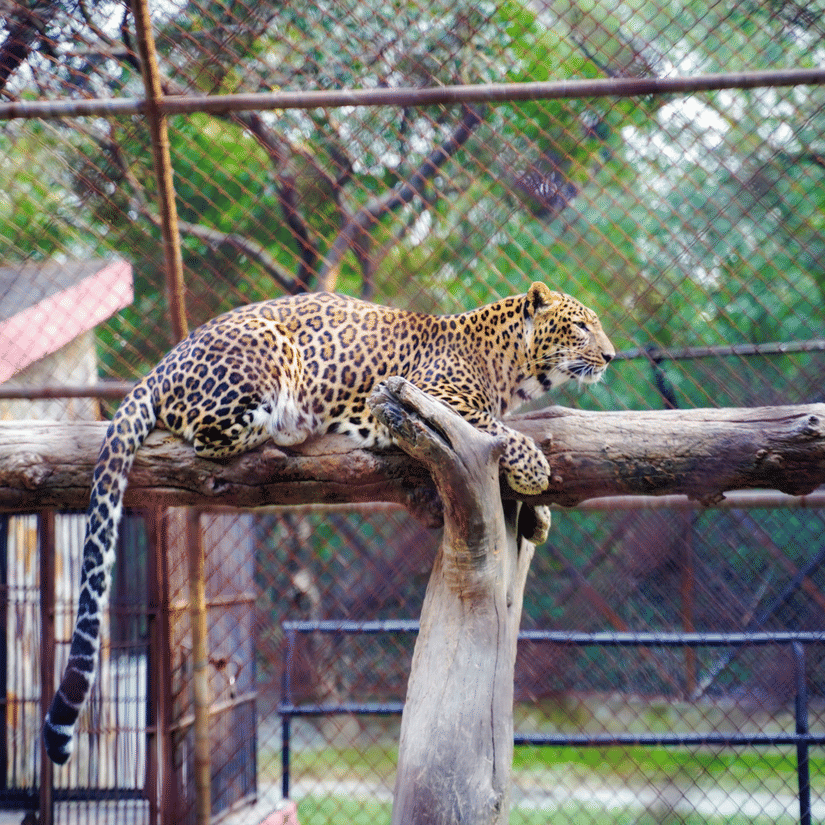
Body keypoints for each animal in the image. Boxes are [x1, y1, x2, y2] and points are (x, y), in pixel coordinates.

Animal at [42, 281, 614, 764]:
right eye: (581, 326)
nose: (610, 355)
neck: (511, 368)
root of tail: (162, 363)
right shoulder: (427, 396)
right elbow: (500, 430)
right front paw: (535, 469)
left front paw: (538, 515)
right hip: (265, 351)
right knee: (206, 432)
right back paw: (287, 423)